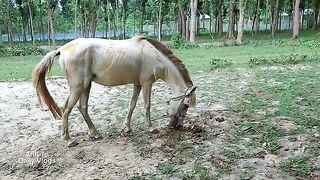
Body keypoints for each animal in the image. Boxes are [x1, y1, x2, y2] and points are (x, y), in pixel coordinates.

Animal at [33, 36, 196, 146]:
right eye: (186, 105)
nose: (177, 126)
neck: (155, 57)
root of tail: (62, 49)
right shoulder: (146, 84)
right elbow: (147, 105)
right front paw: (151, 128)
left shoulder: (137, 85)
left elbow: (132, 105)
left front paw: (127, 128)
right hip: (78, 87)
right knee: (66, 109)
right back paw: (68, 140)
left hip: (86, 85)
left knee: (82, 107)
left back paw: (95, 134)